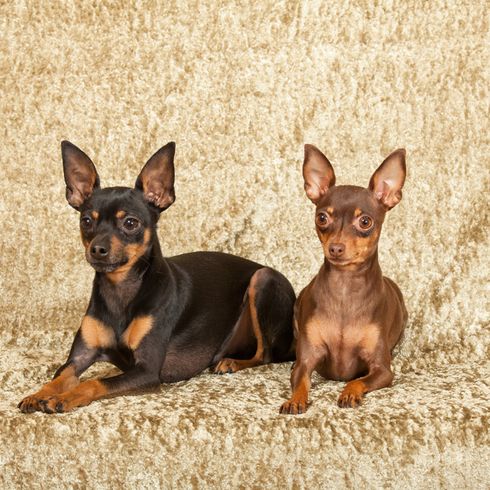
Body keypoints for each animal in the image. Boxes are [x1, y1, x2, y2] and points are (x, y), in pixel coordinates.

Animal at [18, 141, 294, 414]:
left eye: (130, 223)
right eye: (86, 221)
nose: (97, 249)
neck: (120, 290)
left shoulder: (147, 371)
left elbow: (95, 382)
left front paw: (64, 398)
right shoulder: (79, 358)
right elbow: (59, 377)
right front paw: (37, 394)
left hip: (262, 279)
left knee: (265, 354)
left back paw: (231, 362)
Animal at [282, 145, 408, 414]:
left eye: (365, 221)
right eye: (322, 218)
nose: (336, 248)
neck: (344, 288)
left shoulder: (382, 370)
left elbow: (357, 380)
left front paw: (349, 393)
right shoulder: (307, 360)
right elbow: (301, 379)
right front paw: (295, 399)